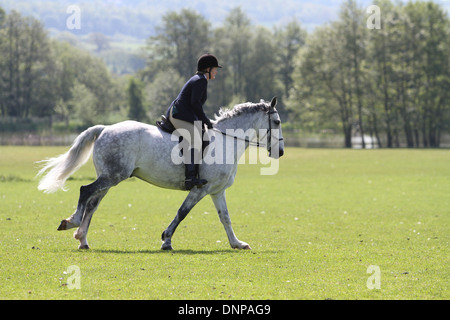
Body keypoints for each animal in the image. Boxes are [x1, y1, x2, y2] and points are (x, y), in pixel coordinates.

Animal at [38, 97, 284, 250]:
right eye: (277, 121)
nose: (280, 151)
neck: (226, 141)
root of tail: (105, 128)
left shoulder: (216, 191)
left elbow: (225, 217)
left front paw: (237, 244)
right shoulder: (200, 188)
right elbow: (182, 212)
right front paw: (166, 241)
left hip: (109, 178)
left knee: (92, 203)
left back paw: (82, 240)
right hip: (113, 176)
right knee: (85, 191)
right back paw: (72, 223)